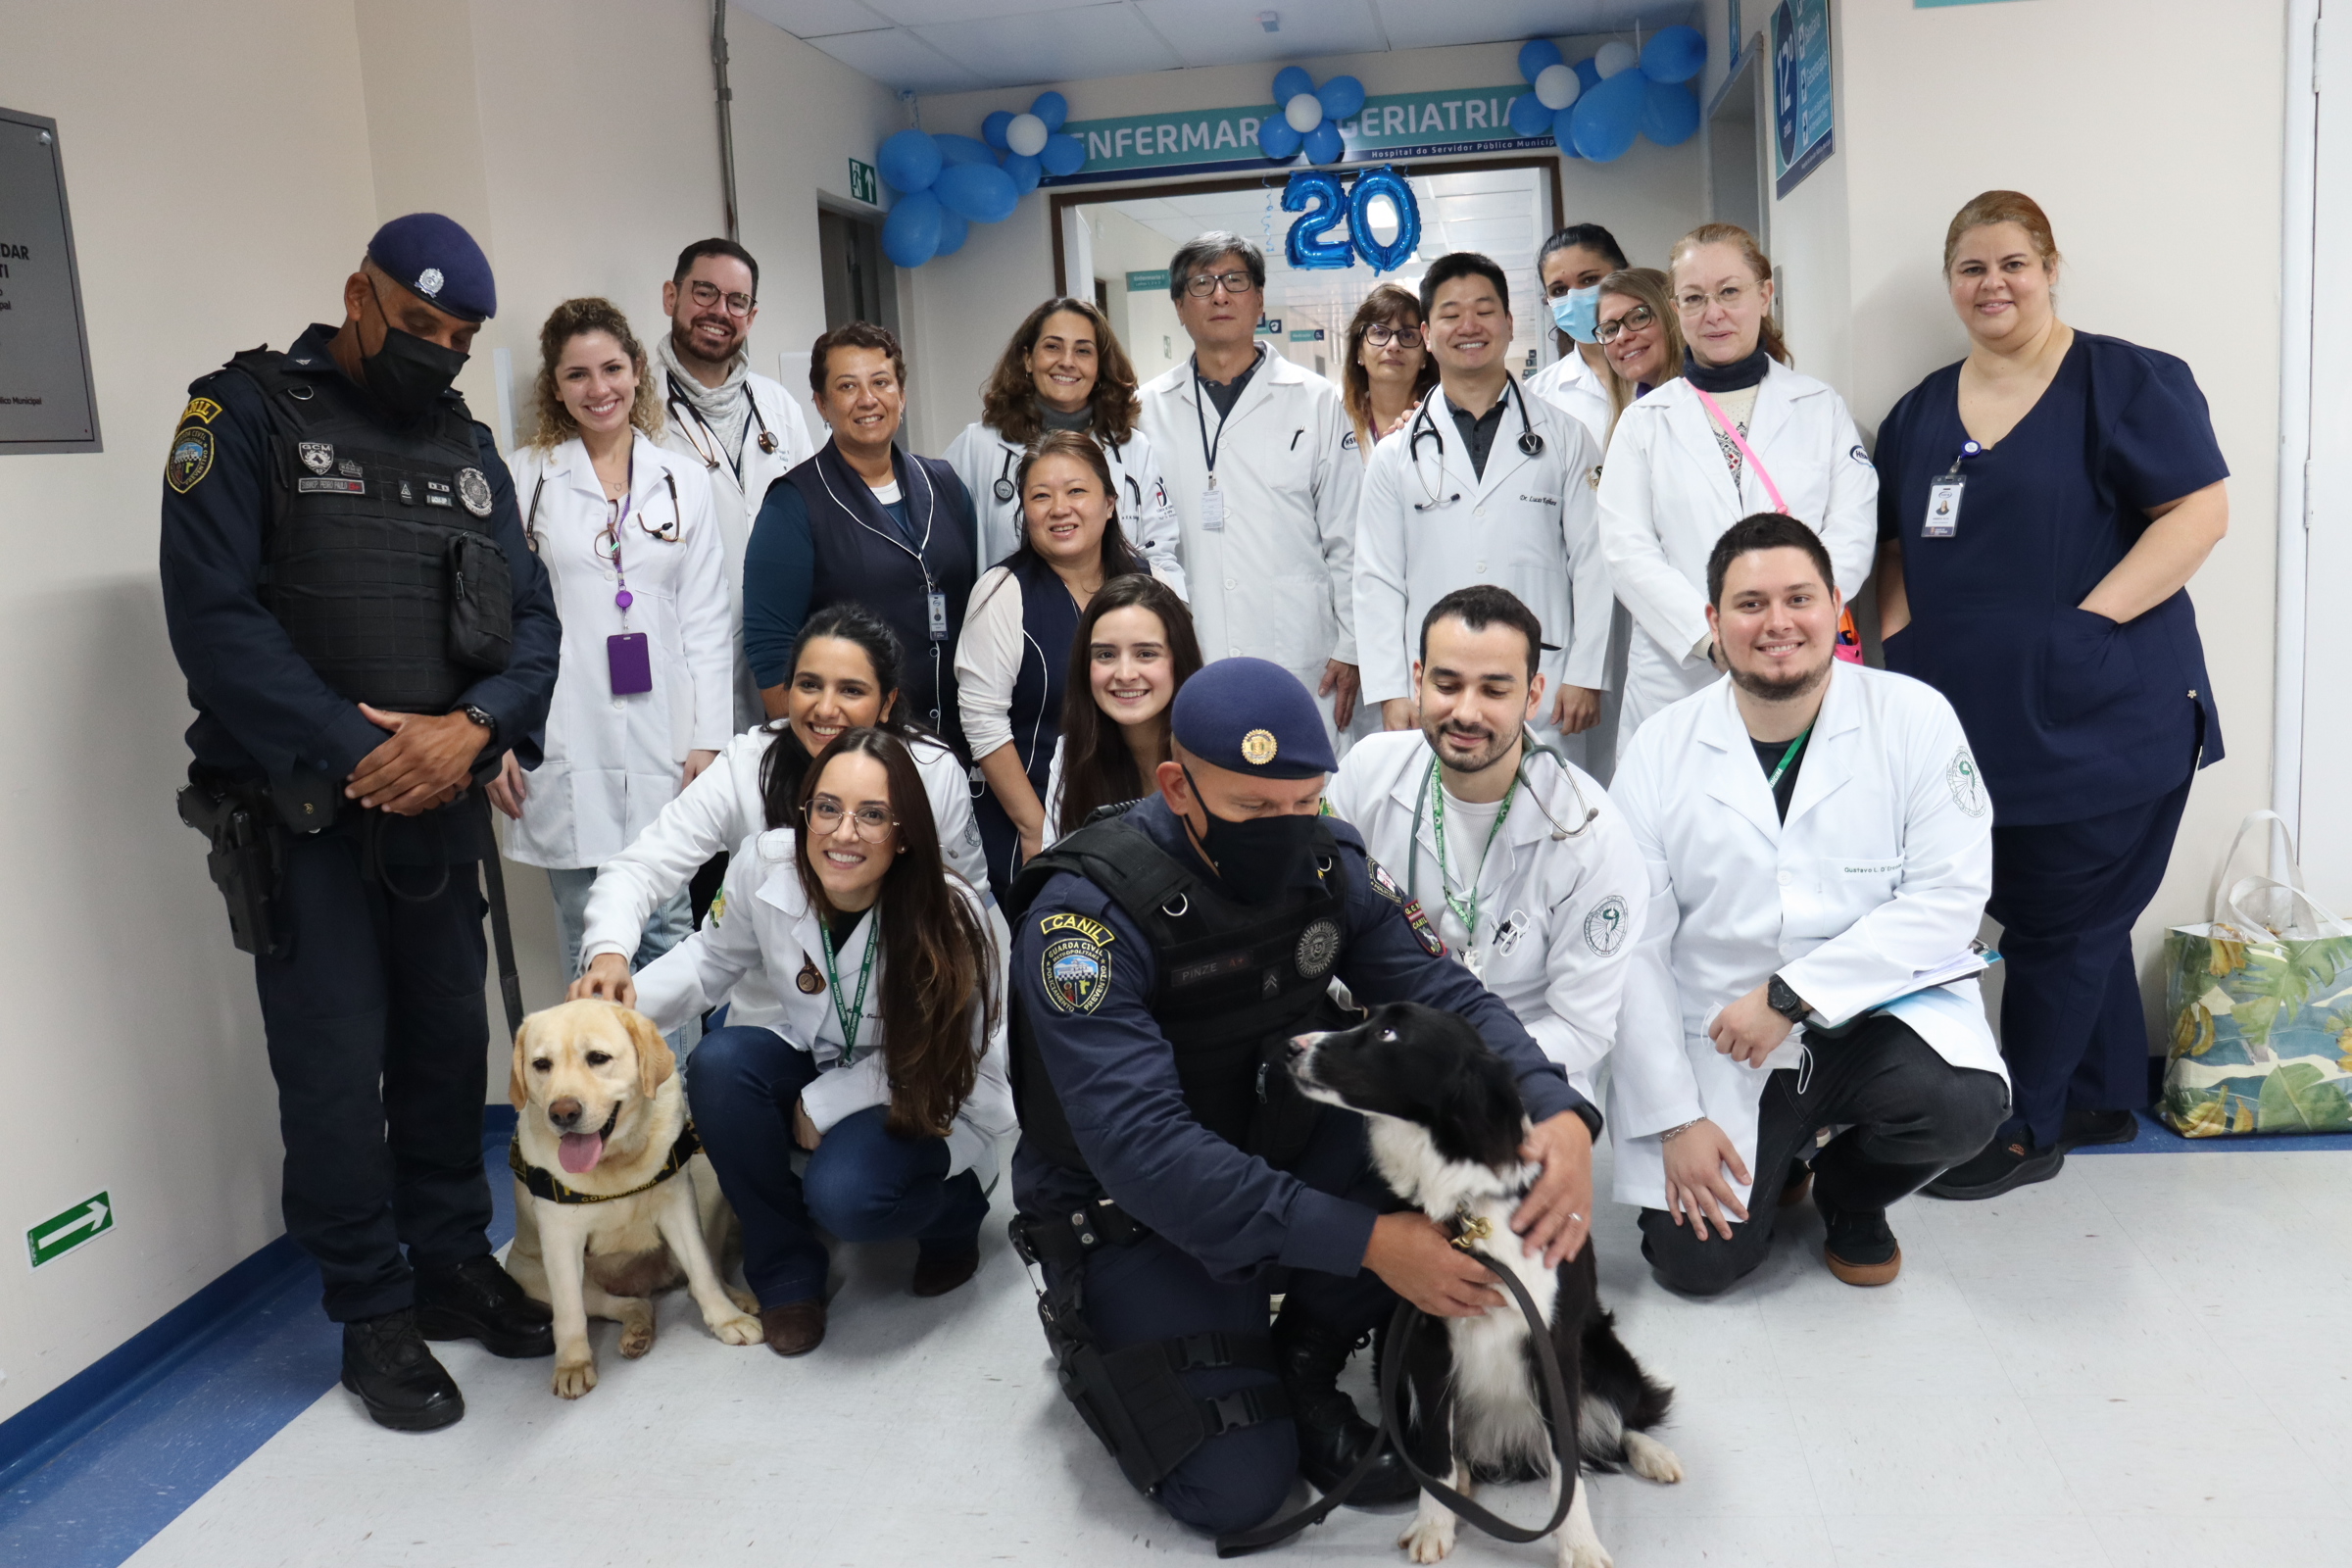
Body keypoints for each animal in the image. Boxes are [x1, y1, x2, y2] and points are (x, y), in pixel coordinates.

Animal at [506, 1001, 761, 1400]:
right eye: (541, 1064)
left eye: (598, 1058)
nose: (562, 1112)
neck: (614, 1165)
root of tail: (649, 1281)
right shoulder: (561, 1238)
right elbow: (569, 1312)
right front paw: (572, 1365)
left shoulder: (679, 1206)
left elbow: (703, 1271)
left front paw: (727, 1318)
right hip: (528, 1274)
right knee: (626, 1304)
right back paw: (637, 1330)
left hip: (711, 1191)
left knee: (701, 1277)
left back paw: (737, 1298)